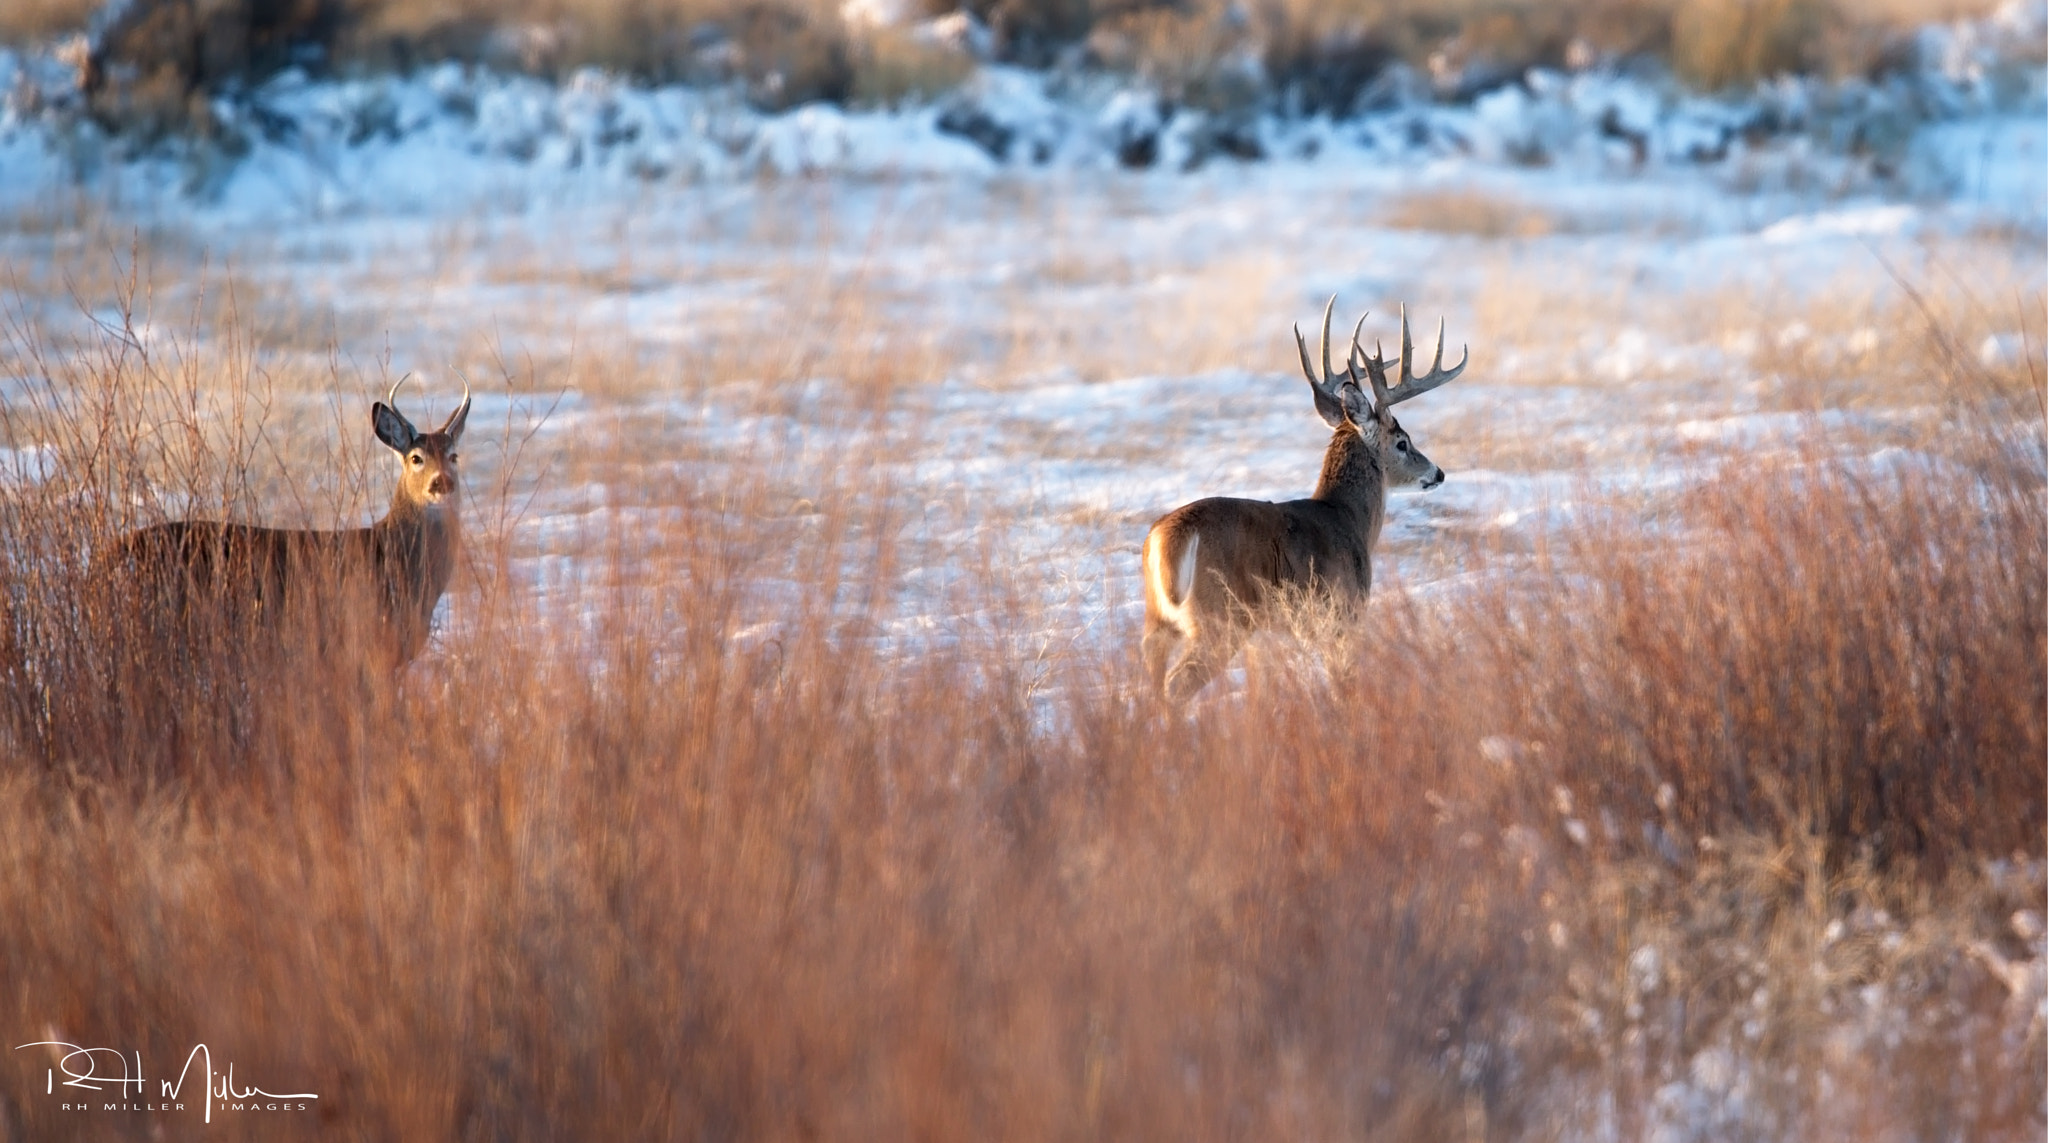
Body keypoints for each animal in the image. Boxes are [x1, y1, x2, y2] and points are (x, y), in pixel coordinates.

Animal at [1146, 301, 1466, 704]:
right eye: (1402, 442)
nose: (1438, 473)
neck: (1347, 517)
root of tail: (1169, 535)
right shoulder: (1343, 611)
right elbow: (1342, 679)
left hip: (1158, 620)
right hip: (1222, 617)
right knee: (1177, 685)